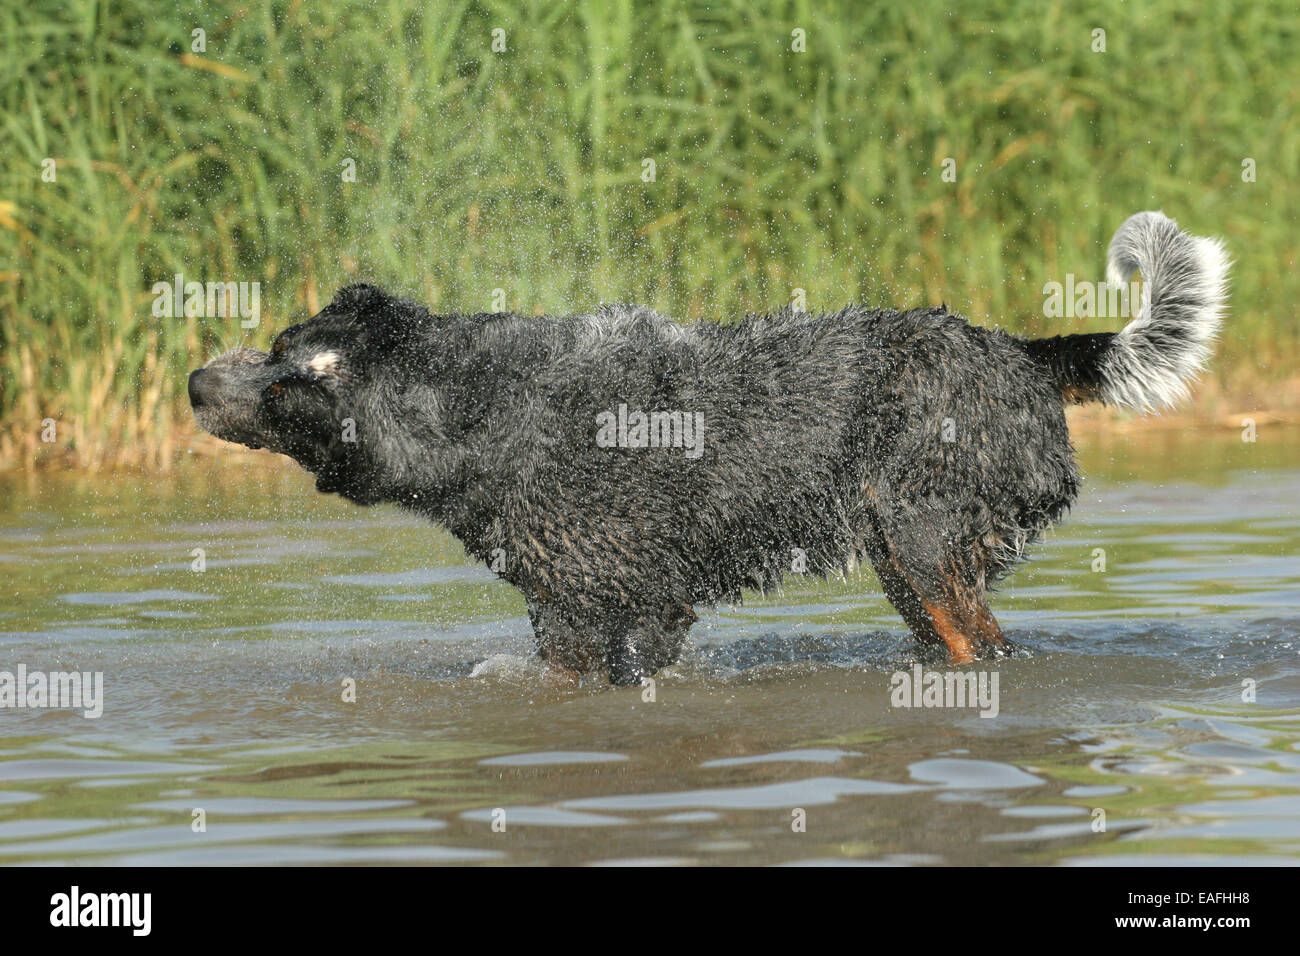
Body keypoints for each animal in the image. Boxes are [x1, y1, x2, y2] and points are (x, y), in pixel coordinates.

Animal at [189, 213, 1227, 686]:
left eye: (285, 386)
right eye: (275, 345)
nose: (195, 382)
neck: (483, 407)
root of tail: (1019, 349)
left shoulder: (633, 612)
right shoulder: (583, 615)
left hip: (926, 543)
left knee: (987, 646)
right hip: (905, 561)